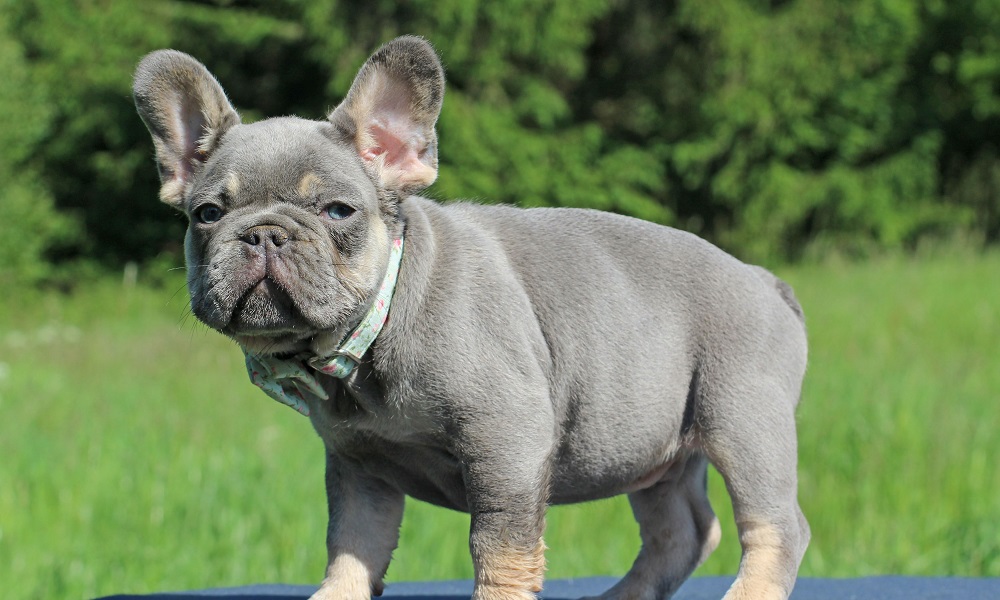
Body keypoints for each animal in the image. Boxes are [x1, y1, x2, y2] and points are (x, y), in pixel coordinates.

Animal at [131, 36, 812, 600]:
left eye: (337, 211)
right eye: (208, 214)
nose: (263, 234)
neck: (374, 330)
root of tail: (765, 280)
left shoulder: (505, 440)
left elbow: (499, 551)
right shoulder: (359, 467)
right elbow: (352, 546)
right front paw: (335, 594)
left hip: (743, 418)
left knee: (777, 526)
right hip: (651, 448)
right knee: (682, 531)